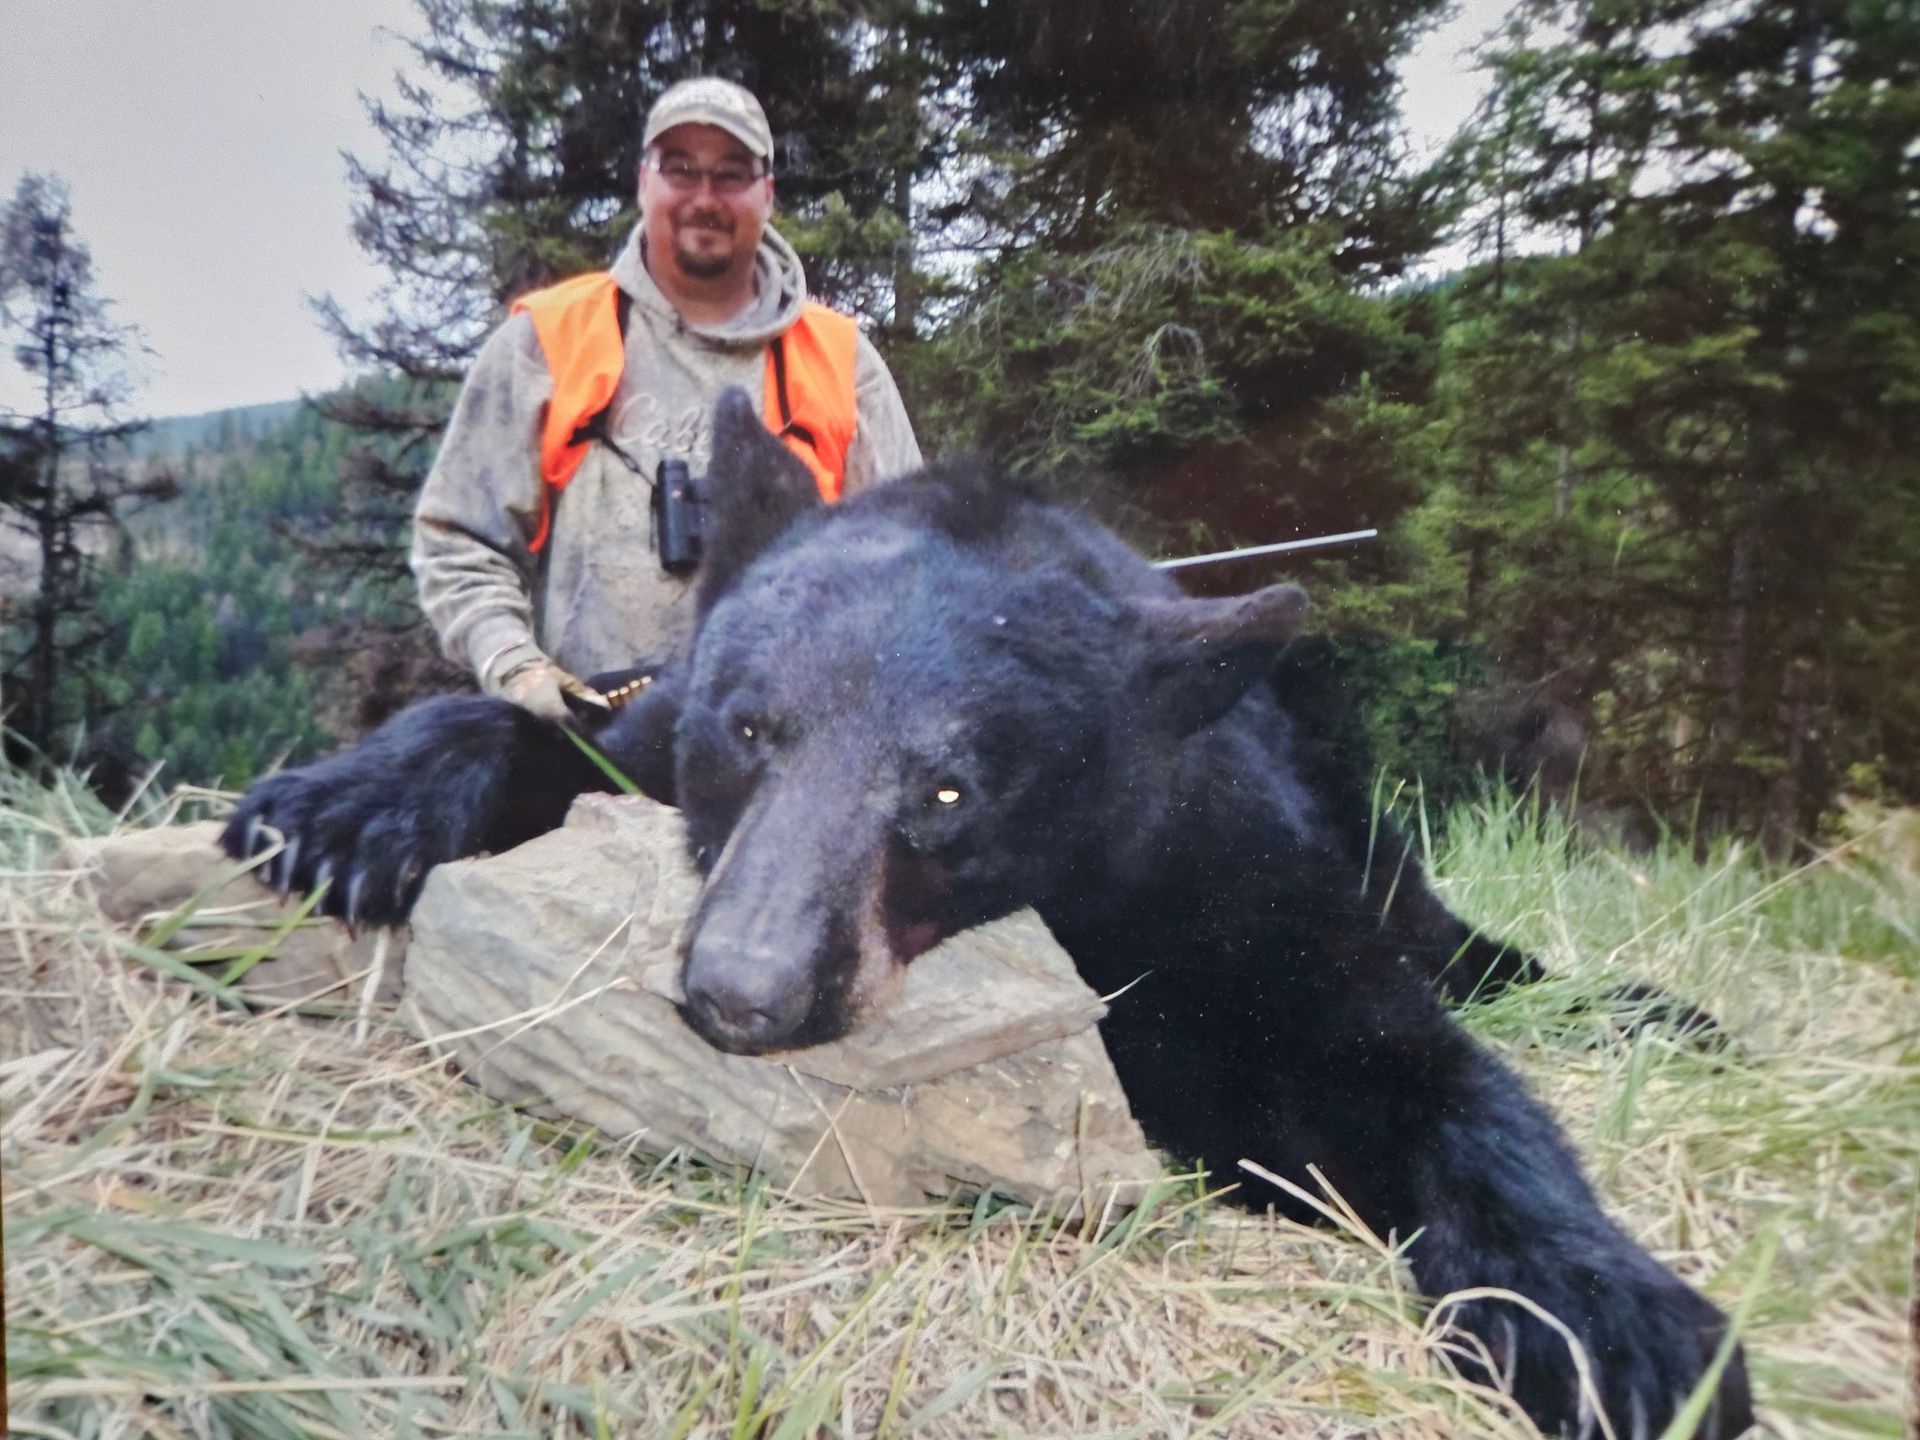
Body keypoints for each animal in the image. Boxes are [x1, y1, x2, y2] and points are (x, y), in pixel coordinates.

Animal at [222, 389, 1752, 1439]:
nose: (744, 990)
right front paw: (341, 807)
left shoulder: (1226, 880)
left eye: (948, 788)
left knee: (1459, 944)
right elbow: (547, 730)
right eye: (751, 726)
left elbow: (1403, 1069)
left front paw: (1618, 1323)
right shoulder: (654, 726)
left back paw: (1663, 1016)